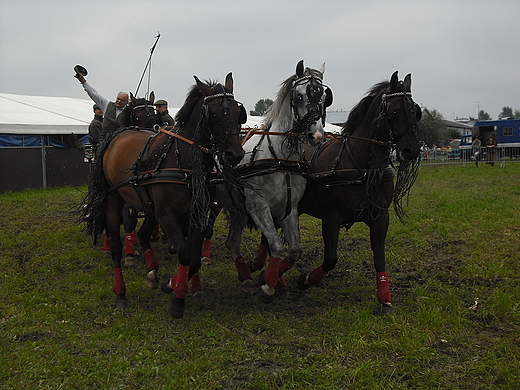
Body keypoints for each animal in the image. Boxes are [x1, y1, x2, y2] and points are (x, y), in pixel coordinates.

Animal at [218, 61, 334, 304]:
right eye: (299, 96)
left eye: (324, 97)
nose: (317, 136)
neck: (281, 158)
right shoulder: (257, 206)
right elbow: (277, 246)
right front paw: (268, 285)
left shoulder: (289, 208)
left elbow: (295, 250)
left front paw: (271, 279)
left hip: (238, 210)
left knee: (232, 242)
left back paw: (245, 277)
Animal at [296, 71, 422, 314]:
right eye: (394, 111)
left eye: (415, 110)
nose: (411, 149)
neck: (359, 165)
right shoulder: (331, 217)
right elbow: (330, 259)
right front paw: (306, 280)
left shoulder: (380, 216)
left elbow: (379, 257)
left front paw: (385, 300)